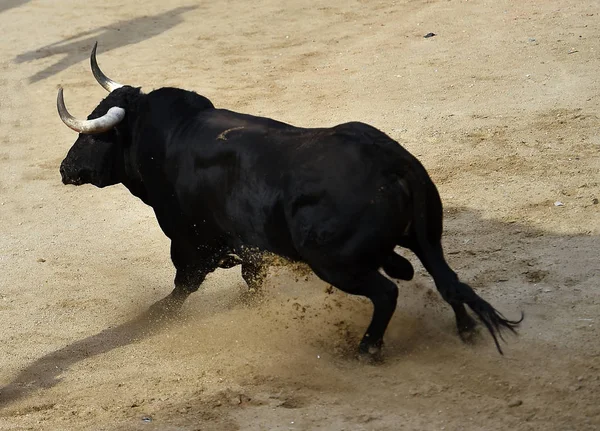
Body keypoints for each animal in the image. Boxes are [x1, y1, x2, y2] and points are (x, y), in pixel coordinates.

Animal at [58, 45, 524, 360]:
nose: (65, 168)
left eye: (92, 134)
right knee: (448, 281)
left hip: (334, 262)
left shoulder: (190, 243)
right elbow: (251, 279)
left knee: (388, 292)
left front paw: (153, 317)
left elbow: (182, 287)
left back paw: (365, 350)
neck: (168, 138)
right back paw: (466, 332)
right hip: (427, 238)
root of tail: (393, 162)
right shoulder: (246, 246)